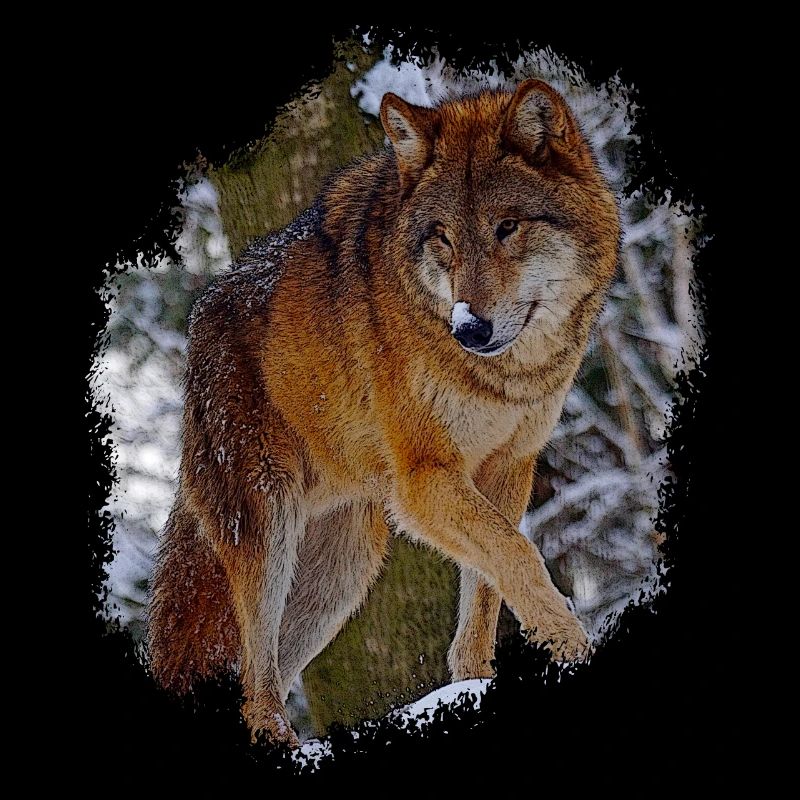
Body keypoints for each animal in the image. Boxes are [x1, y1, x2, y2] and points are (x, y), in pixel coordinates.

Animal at [148, 79, 620, 746]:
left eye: (507, 227)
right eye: (443, 237)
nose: (469, 329)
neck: (507, 377)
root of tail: (201, 316)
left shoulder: (508, 467)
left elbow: (488, 588)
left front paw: (472, 682)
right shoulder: (424, 481)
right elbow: (520, 557)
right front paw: (572, 647)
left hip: (341, 572)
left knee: (261, 675)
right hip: (267, 532)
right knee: (257, 685)